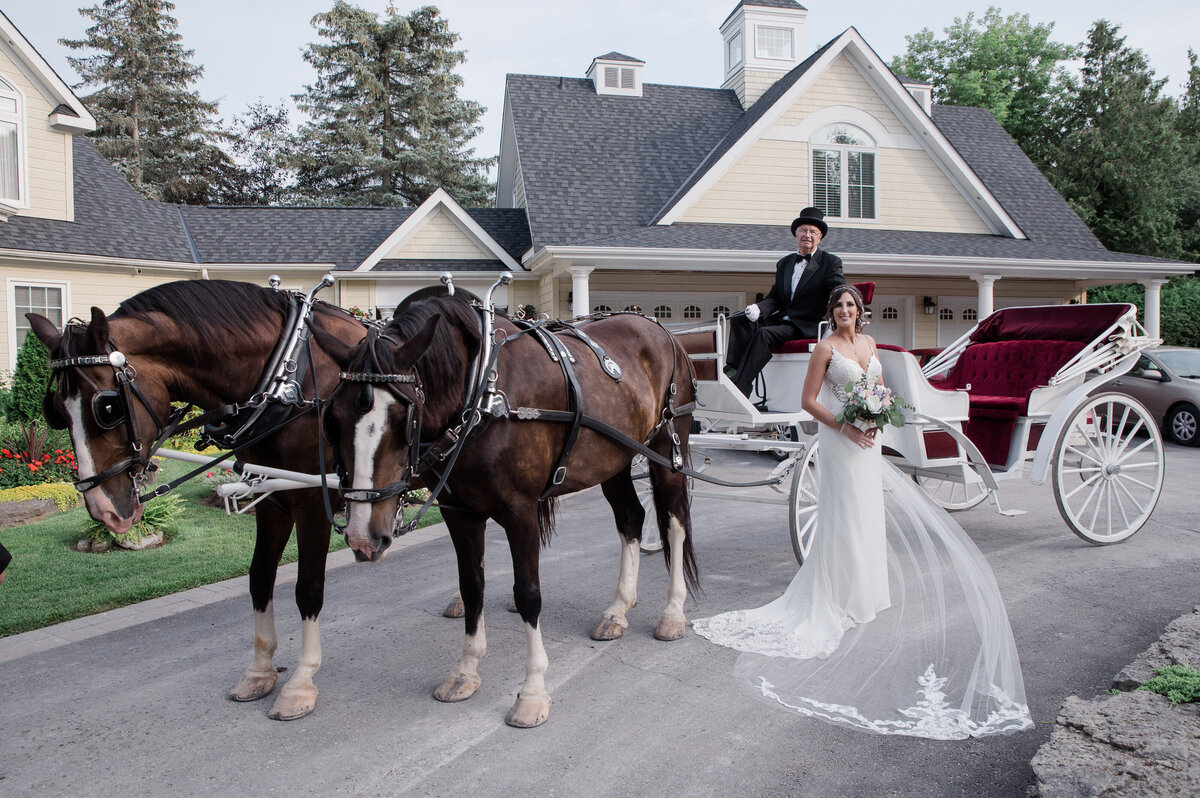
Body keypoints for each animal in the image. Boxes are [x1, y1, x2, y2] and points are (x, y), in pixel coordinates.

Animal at [28, 282, 364, 720]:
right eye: (55, 411)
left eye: (107, 406)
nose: (104, 509)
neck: (290, 378)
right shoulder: (270, 497)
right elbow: (259, 578)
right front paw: (259, 671)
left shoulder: (311, 501)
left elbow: (307, 588)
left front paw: (301, 683)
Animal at [314, 295, 700, 724]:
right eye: (333, 420)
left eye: (404, 418)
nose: (362, 536)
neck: (481, 392)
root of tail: (661, 330)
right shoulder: (459, 512)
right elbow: (472, 586)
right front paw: (464, 672)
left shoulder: (521, 511)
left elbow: (528, 593)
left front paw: (532, 692)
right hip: (613, 460)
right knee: (631, 519)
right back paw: (617, 611)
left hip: (668, 450)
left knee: (675, 525)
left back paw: (672, 614)